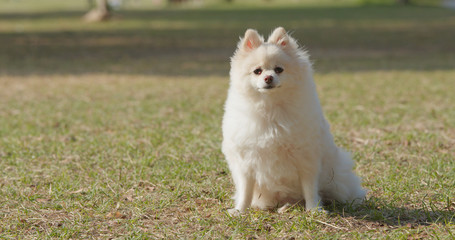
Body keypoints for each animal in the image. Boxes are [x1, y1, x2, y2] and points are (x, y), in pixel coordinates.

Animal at [223, 26, 368, 214]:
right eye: (257, 71)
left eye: (279, 69)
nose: (268, 78)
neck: (272, 108)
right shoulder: (246, 162)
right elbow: (245, 190)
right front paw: (240, 210)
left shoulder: (307, 158)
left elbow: (310, 188)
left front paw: (314, 210)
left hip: (337, 178)